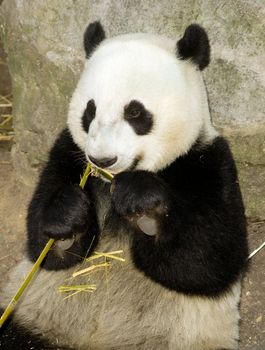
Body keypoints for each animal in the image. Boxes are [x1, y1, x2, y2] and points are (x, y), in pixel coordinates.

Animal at [0, 21, 248, 350]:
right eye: (89, 111)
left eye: (135, 112)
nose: (102, 159)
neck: (115, 179)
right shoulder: (68, 152)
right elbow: (43, 243)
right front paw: (67, 217)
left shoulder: (207, 161)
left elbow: (207, 261)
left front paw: (145, 208)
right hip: (32, 319)